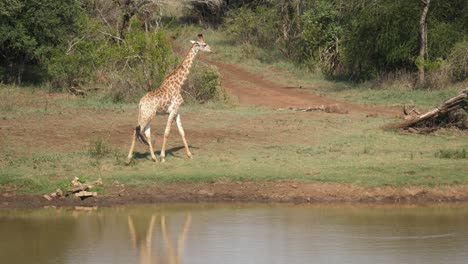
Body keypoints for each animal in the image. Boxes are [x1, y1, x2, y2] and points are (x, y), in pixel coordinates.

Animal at [125, 33, 211, 163]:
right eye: (204, 44)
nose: (211, 49)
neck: (179, 84)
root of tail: (140, 103)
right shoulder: (173, 110)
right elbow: (167, 132)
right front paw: (163, 156)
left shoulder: (177, 111)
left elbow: (182, 131)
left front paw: (189, 154)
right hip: (147, 115)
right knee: (137, 130)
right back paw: (129, 159)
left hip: (147, 115)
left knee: (146, 132)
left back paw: (153, 158)